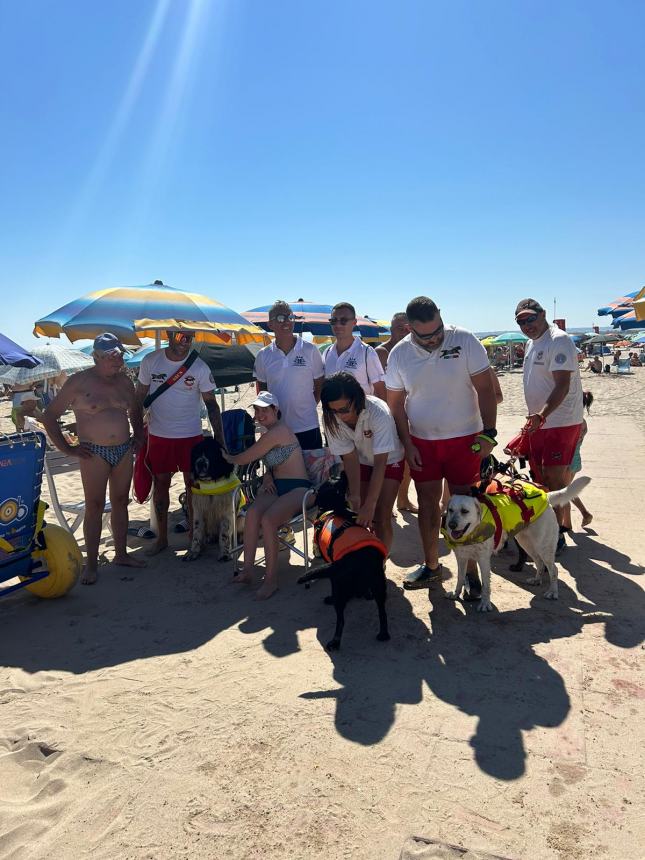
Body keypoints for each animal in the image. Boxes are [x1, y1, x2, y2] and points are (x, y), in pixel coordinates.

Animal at [296, 470, 388, 652]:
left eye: (335, 479)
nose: (343, 471)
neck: (332, 509)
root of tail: (359, 561)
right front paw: (364, 595)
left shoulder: (333, 574)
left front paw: (329, 598)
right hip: (379, 585)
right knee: (382, 611)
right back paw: (383, 634)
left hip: (341, 587)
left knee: (341, 620)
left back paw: (335, 642)